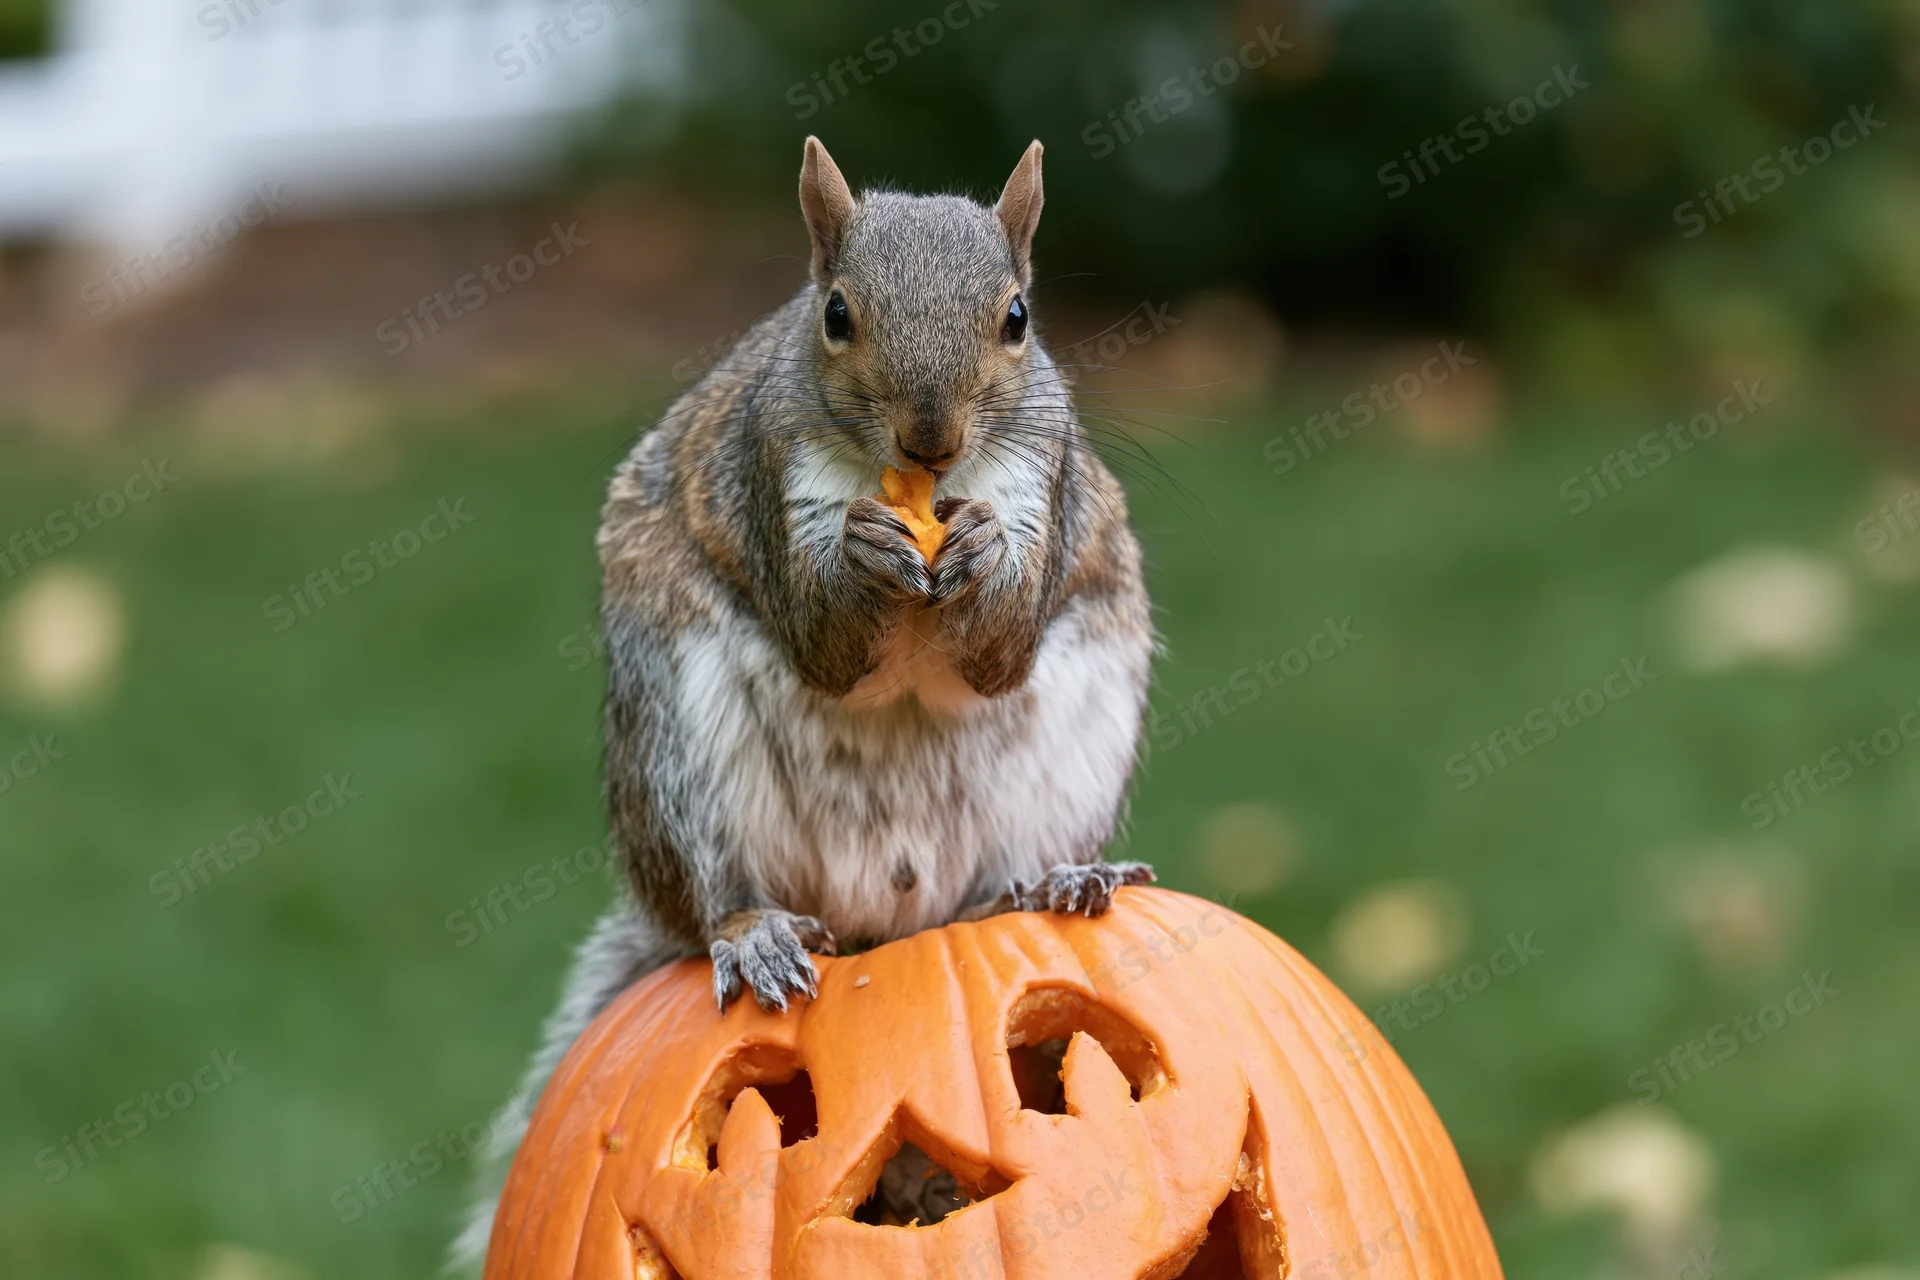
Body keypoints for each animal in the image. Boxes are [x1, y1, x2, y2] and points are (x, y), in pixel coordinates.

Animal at [454, 137, 1154, 1269]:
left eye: (1017, 317)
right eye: (835, 314)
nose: (930, 439)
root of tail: (883, 923)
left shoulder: (1039, 488)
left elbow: (999, 652)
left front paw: (984, 556)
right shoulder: (769, 477)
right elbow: (826, 645)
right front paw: (863, 557)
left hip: (1085, 726)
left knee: (994, 883)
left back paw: (1053, 880)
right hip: (680, 736)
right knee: (711, 890)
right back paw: (753, 933)